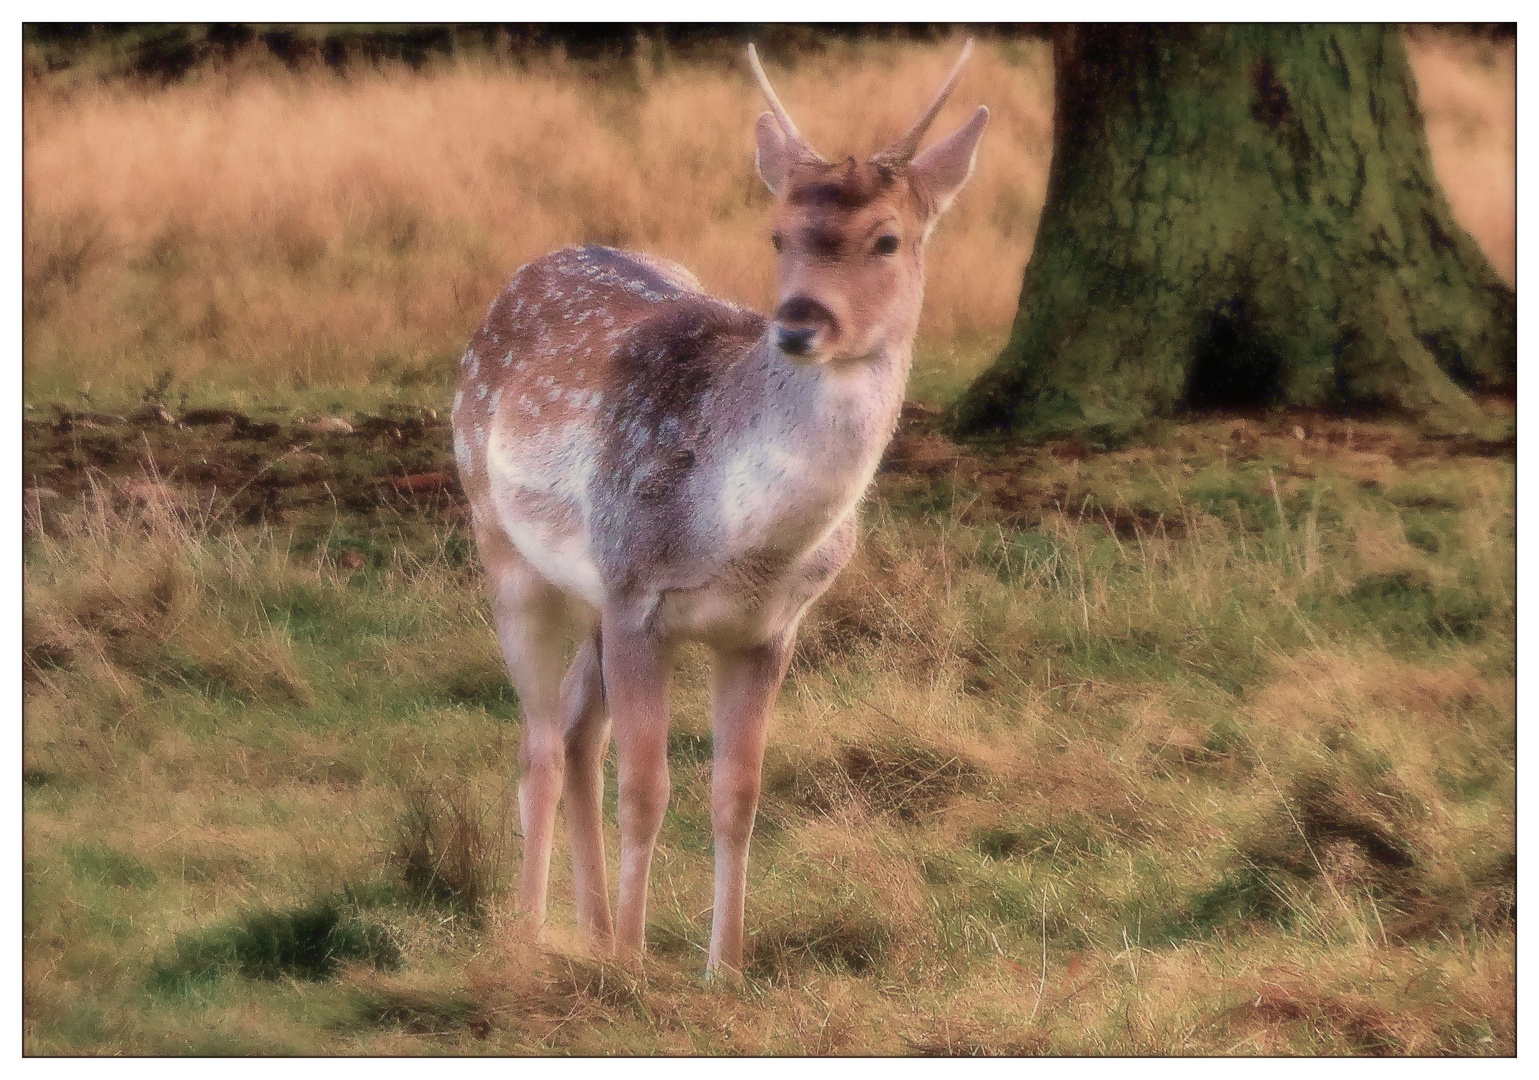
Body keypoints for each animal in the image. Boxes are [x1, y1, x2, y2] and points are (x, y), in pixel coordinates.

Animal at [449, 42, 991, 978]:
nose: (799, 324)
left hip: (589, 590)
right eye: (777, 234)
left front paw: (724, 969)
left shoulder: (769, 628)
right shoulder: (638, 592)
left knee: (574, 729)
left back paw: (589, 931)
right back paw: (530, 936)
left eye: (888, 238)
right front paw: (637, 966)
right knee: (540, 741)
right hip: (505, 542)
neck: (743, 541)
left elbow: (736, 793)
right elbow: (646, 787)